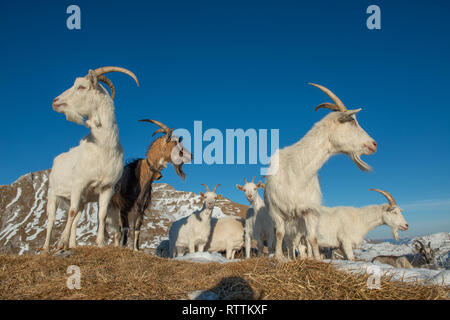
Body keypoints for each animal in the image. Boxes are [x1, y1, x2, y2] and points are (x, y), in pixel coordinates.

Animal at [44, 65, 140, 250]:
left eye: (81, 87)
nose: (55, 101)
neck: (103, 148)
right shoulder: (78, 184)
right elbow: (71, 211)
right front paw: (61, 243)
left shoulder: (107, 188)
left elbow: (101, 215)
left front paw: (100, 243)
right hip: (53, 194)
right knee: (51, 220)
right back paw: (46, 247)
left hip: (83, 200)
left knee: (76, 219)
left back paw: (73, 245)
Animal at [111, 119, 192, 250]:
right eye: (175, 143)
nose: (191, 156)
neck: (141, 175)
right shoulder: (124, 206)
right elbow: (125, 228)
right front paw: (123, 247)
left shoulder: (140, 207)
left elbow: (137, 228)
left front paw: (136, 249)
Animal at [264, 83, 376, 260]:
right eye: (352, 121)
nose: (374, 144)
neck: (297, 172)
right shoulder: (276, 211)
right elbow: (280, 234)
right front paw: (279, 258)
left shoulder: (309, 211)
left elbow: (313, 238)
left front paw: (316, 259)